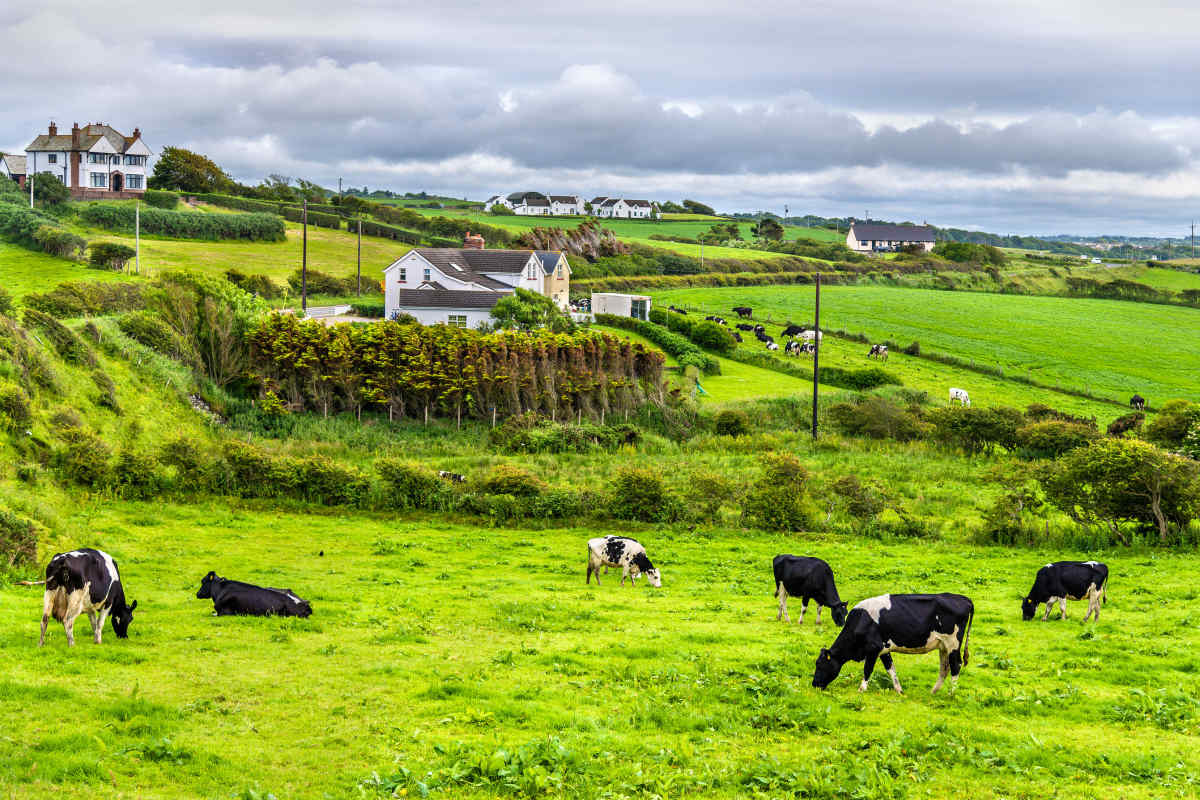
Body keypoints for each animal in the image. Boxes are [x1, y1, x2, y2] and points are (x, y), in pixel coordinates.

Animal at [806, 592, 974, 695]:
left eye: (820, 665)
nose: (814, 684)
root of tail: (963, 598)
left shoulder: (873, 648)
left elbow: (868, 669)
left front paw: (861, 689)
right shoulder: (884, 650)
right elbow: (891, 670)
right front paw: (899, 691)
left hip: (953, 643)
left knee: (955, 665)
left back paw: (951, 693)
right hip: (943, 646)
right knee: (944, 668)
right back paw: (933, 692)